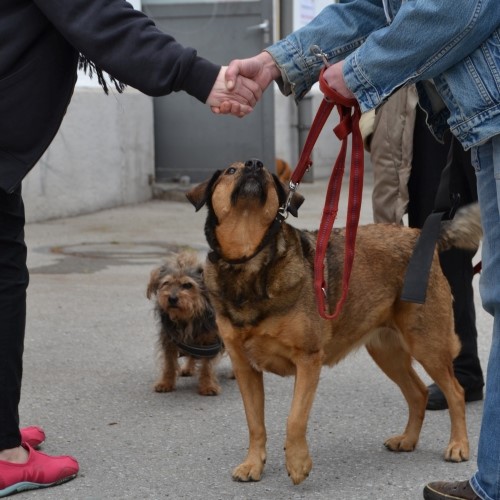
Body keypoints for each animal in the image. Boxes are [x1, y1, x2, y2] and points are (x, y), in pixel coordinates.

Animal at [145, 252, 223, 396]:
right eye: (166, 283)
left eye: (187, 285)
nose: (172, 298)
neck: (187, 315)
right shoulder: (169, 340)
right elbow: (169, 364)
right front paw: (165, 383)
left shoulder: (211, 342)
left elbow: (207, 366)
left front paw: (208, 386)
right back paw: (187, 368)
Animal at [186, 160, 482, 484]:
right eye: (230, 171)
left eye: (267, 175)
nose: (255, 164)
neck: (249, 260)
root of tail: (419, 235)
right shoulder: (245, 369)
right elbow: (255, 424)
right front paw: (253, 463)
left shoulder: (308, 360)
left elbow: (294, 419)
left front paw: (298, 463)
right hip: (386, 352)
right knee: (418, 393)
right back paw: (407, 440)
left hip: (427, 344)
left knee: (455, 392)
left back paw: (458, 445)